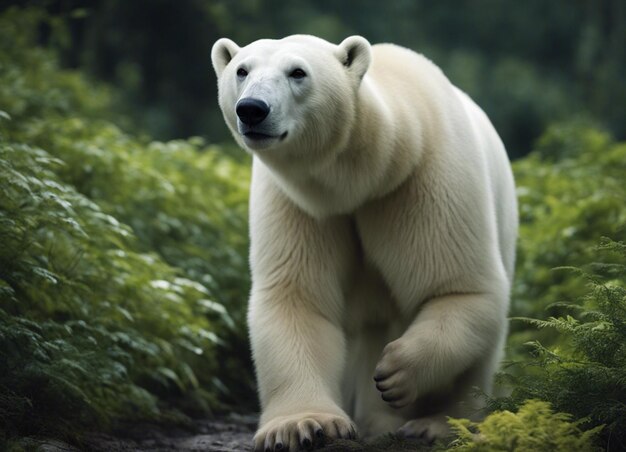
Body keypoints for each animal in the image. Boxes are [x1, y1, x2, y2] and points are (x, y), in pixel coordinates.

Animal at [212, 33, 516, 450]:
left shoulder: (422, 180)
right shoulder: (301, 203)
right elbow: (298, 297)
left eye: (298, 72)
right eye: (242, 70)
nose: (252, 110)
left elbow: (458, 288)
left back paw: (438, 422)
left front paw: (396, 372)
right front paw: (304, 426)